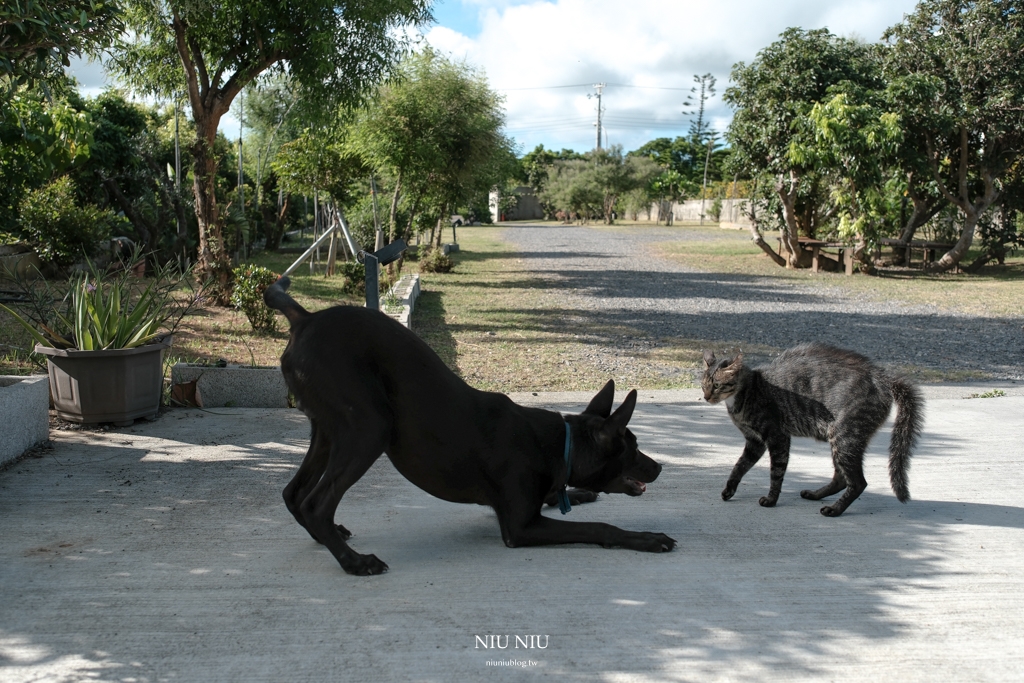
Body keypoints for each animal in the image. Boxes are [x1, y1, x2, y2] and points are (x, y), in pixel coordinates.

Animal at [266, 278, 671, 577]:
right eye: (633, 448)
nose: (659, 467)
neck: (559, 445)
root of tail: (304, 319)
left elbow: (561, 496)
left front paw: (578, 494)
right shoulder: (521, 527)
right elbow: (600, 527)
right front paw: (649, 538)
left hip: (328, 429)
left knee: (293, 494)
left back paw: (330, 536)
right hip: (370, 427)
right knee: (316, 503)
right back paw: (355, 561)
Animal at [700, 344, 925, 516]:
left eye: (717, 385)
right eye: (703, 385)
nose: (706, 397)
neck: (742, 396)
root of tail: (881, 377)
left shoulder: (777, 437)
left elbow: (776, 473)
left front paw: (771, 499)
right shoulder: (754, 442)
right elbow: (739, 466)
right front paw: (729, 489)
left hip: (845, 438)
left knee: (858, 482)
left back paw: (834, 510)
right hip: (840, 441)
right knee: (841, 479)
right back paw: (816, 495)